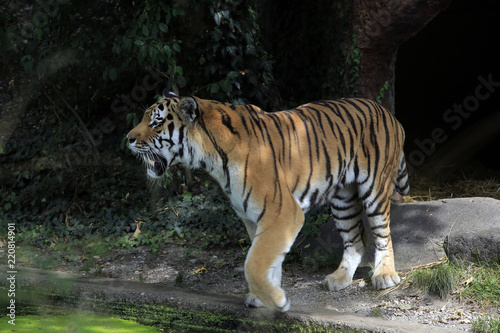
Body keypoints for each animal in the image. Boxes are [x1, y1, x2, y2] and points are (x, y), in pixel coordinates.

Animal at [126, 90, 410, 312]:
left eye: (156, 123)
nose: (128, 139)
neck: (211, 157)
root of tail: (388, 113)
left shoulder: (283, 211)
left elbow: (253, 263)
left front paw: (277, 301)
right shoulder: (253, 216)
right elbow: (266, 259)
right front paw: (265, 296)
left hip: (375, 189)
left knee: (382, 234)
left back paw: (385, 276)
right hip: (343, 200)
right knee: (356, 240)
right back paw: (339, 278)